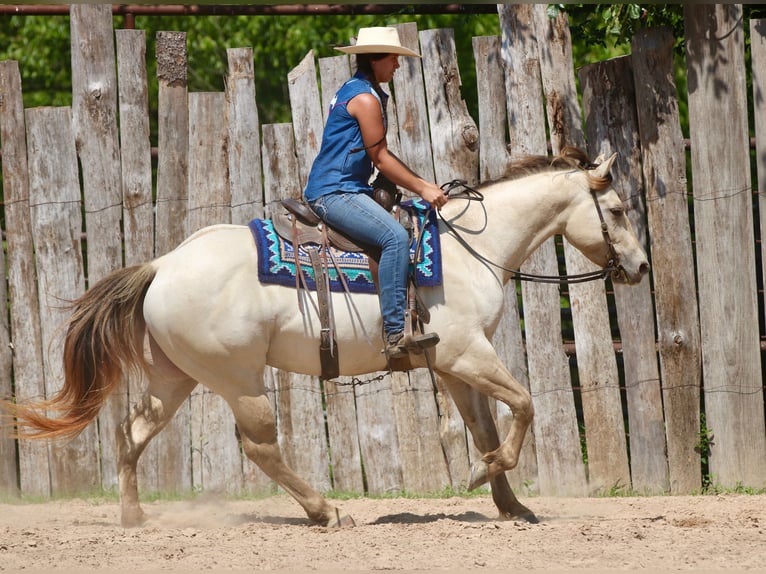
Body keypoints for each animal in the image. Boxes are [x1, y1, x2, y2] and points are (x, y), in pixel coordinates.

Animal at [3, 147, 649, 528]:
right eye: (617, 209)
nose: (640, 268)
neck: (473, 250)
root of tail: (163, 264)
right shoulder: (468, 352)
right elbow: (525, 403)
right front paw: (480, 475)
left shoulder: (453, 365)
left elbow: (488, 424)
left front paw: (510, 502)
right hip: (238, 379)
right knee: (260, 446)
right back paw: (325, 511)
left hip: (175, 375)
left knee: (133, 434)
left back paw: (134, 518)